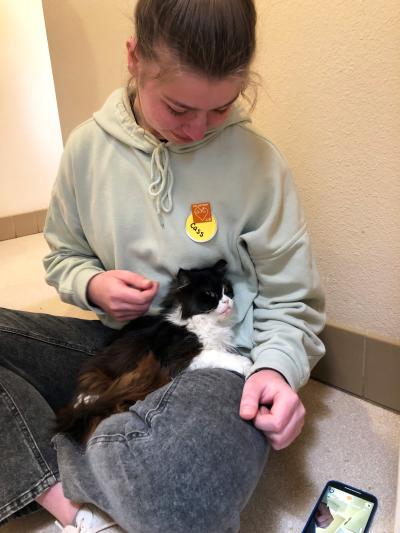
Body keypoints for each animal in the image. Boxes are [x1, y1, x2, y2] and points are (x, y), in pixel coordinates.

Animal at [55, 258, 252, 440]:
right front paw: (247, 365)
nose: (227, 302)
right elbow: (219, 355)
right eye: (210, 294)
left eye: (227, 290)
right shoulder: (179, 358)